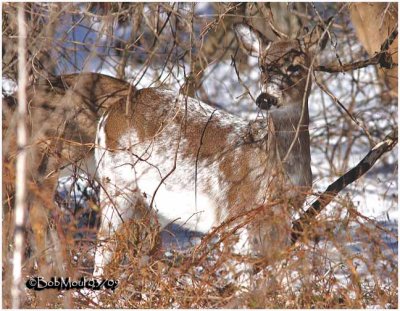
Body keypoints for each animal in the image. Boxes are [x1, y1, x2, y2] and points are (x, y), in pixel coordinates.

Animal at [94, 23, 318, 280]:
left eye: (295, 67)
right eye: (262, 65)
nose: (265, 98)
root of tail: (108, 114)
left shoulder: (280, 218)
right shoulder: (233, 216)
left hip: (155, 203)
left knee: (144, 245)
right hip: (116, 183)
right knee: (104, 243)